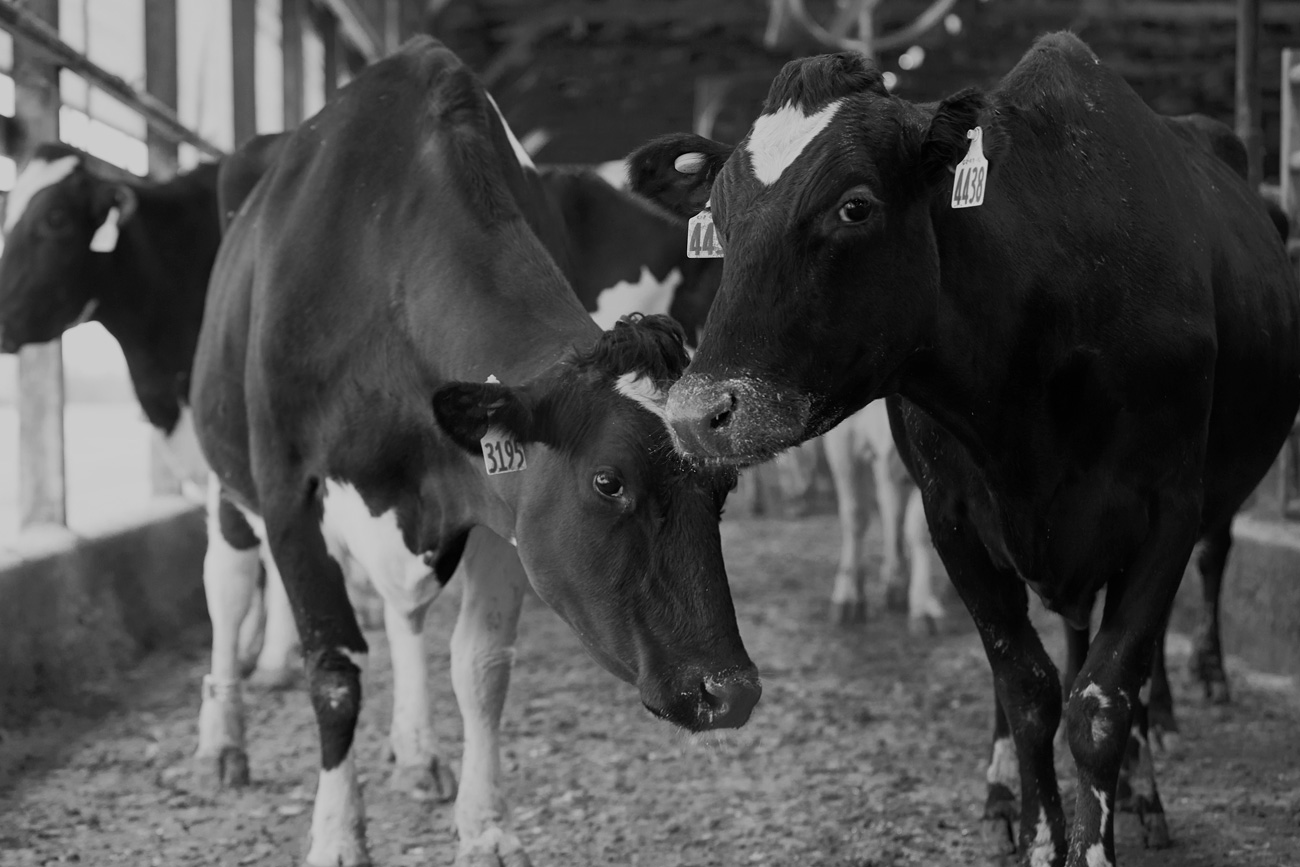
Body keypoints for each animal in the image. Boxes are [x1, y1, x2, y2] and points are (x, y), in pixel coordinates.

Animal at [190, 37, 759, 867]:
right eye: (608, 481)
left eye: (723, 489)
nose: (732, 689)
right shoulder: (290, 488)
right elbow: (333, 669)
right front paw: (336, 834)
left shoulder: (498, 500)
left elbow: (482, 666)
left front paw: (485, 824)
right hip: (225, 472)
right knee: (227, 581)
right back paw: (221, 742)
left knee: (404, 614)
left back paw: (416, 749)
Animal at [626, 33, 1300, 867]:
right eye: (716, 219)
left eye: (855, 204)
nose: (697, 412)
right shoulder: (953, 518)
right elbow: (1028, 690)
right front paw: (1042, 835)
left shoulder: (1168, 509)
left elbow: (1105, 697)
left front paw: (1098, 834)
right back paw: (1002, 794)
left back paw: (1142, 789)